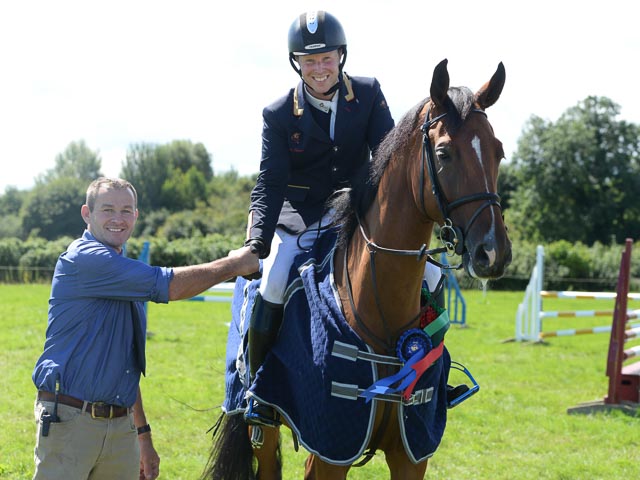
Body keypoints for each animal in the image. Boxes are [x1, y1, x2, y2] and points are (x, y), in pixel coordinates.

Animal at [202, 60, 512, 480]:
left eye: (498, 152)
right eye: (444, 153)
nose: (493, 252)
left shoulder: (411, 453)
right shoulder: (330, 450)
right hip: (260, 424)